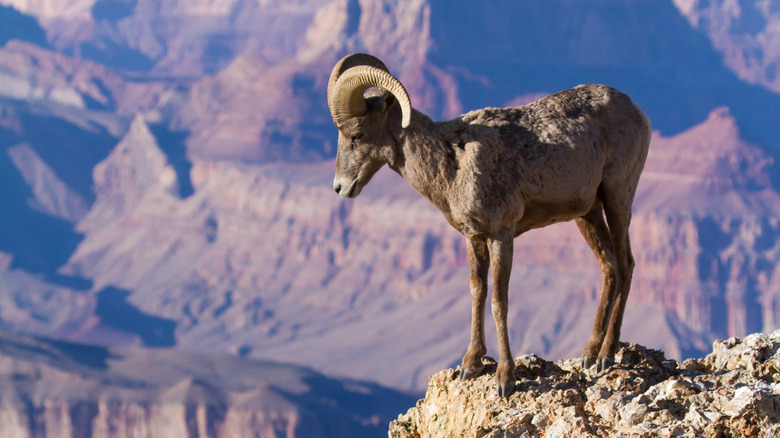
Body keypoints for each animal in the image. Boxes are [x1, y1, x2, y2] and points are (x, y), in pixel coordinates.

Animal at [327, 53, 651, 397]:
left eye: (357, 135)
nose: (341, 188)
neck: (452, 164)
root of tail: (637, 111)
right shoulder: (474, 238)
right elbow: (477, 292)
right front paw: (470, 365)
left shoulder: (501, 235)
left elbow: (498, 301)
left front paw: (505, 379)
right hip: (587, 214)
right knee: (609, 267)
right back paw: (589, 352)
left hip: (617, 197)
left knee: (626, 264)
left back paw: (606, 355)